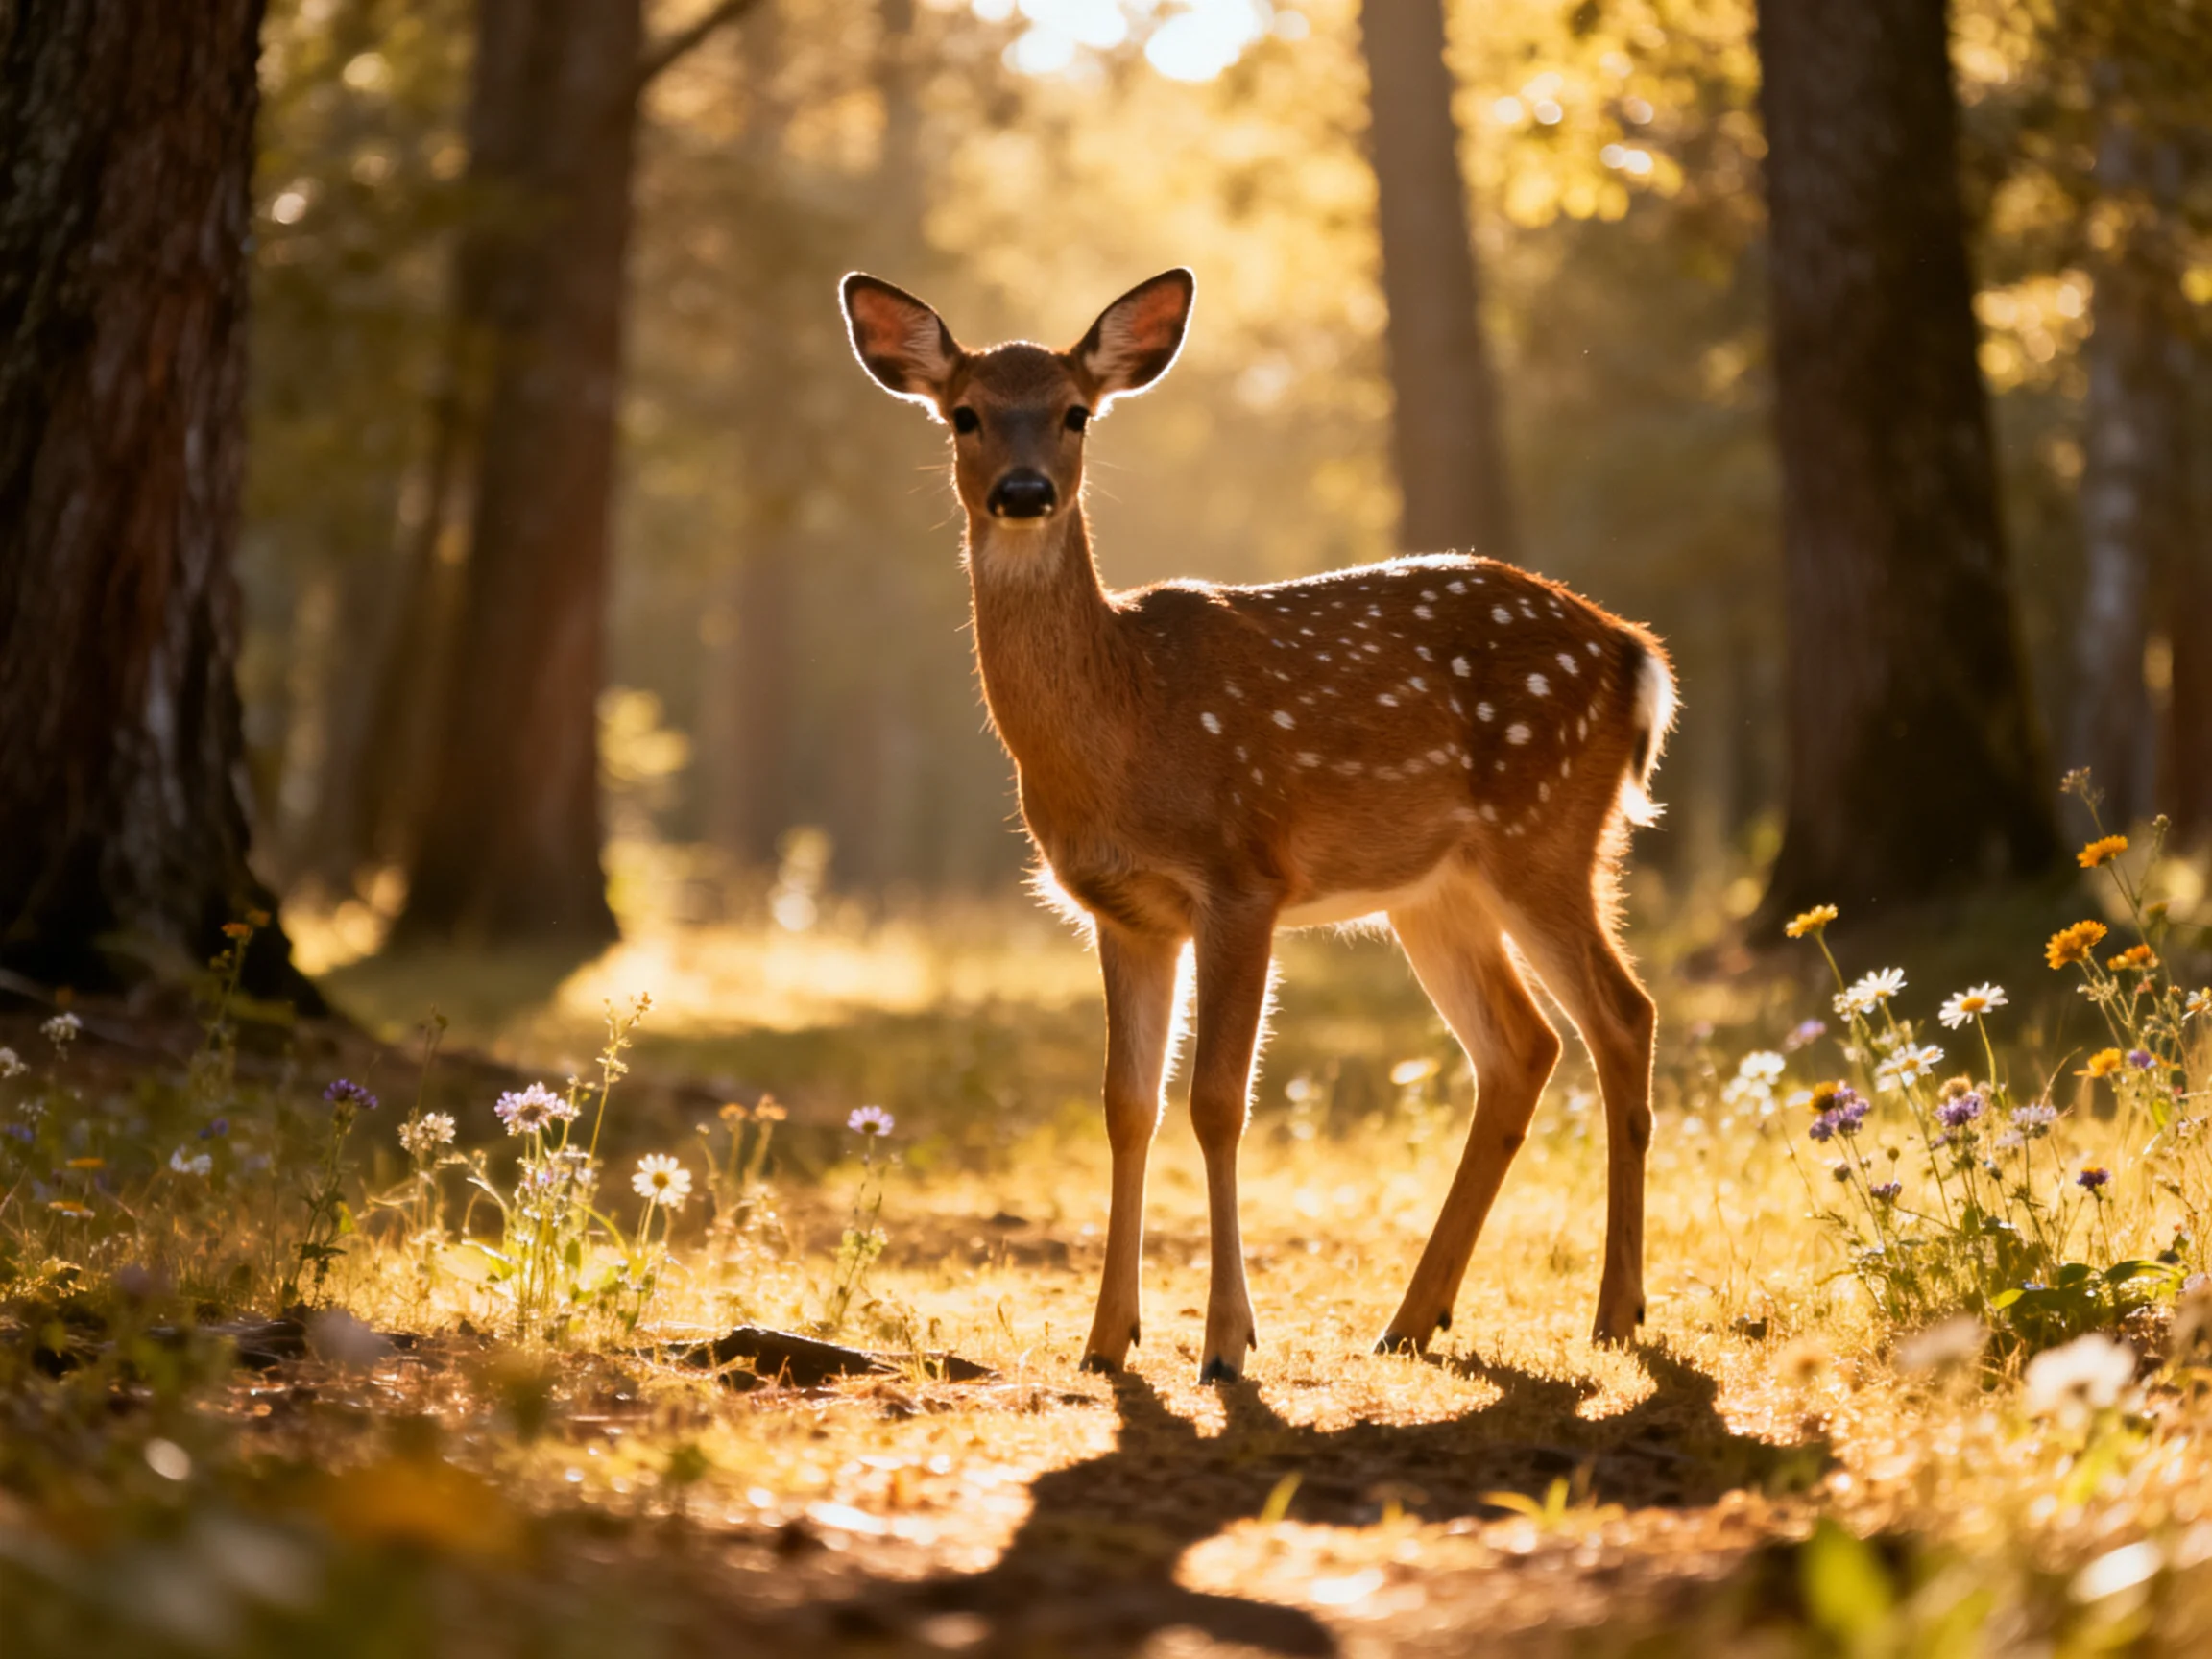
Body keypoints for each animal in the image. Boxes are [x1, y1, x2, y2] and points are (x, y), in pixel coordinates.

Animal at [840, 268, 1675, 1383]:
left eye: (1075, 413)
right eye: (965, 413)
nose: (1023, 492)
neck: (1127, 720)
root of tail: (1636, 654)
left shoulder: (1241, 876)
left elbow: (1218, 1100)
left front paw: (1227, 1343)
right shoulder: (1124, 911)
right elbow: (1126, 1104)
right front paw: (1106, 1340)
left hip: (1545, 834)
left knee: (1622, 1016)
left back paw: (1616, 1312)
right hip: (1436, 886)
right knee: (1522, 1047)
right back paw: (1414, 1318)